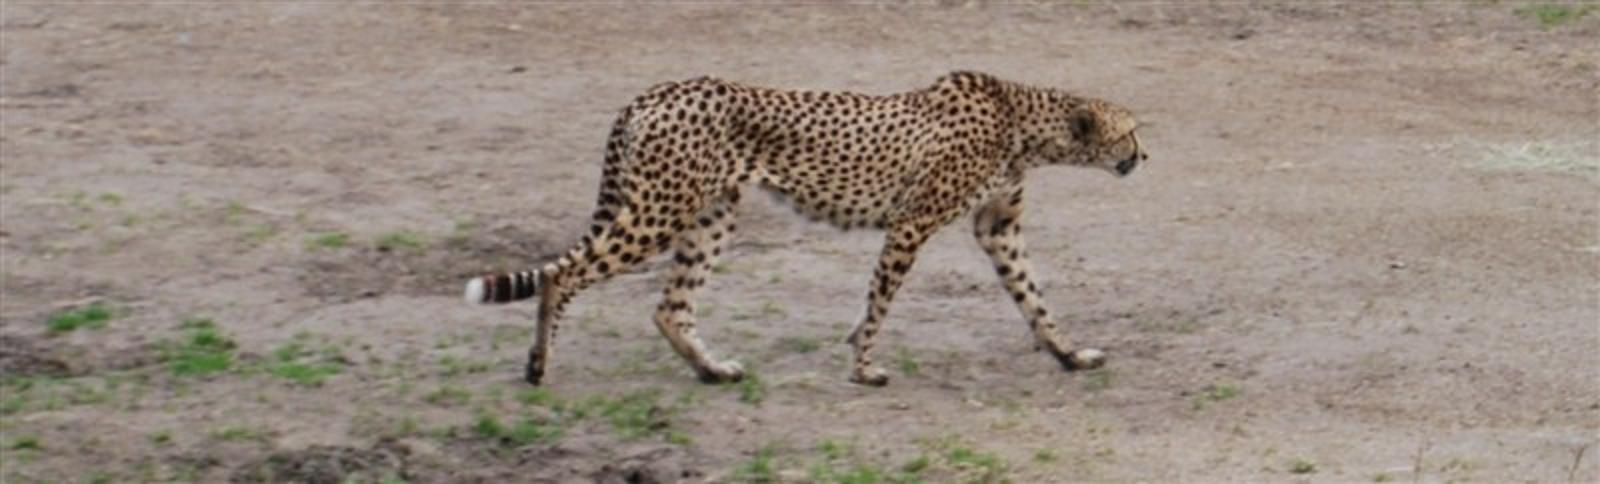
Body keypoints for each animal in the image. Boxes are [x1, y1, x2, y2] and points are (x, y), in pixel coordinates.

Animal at [464, 70, 1148, 387]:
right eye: (1130, 131)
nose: (1145, 157)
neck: (1022, 118)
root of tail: (652, 93)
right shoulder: (911, 224)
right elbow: (881, 301)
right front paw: (864, 366)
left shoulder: (997, 226)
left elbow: (1034, 298)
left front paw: (1069, 353)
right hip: (660, 210)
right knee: (564, 276)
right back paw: (538, 366)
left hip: (712, 213)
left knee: (670, 306)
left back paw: (712, 371)